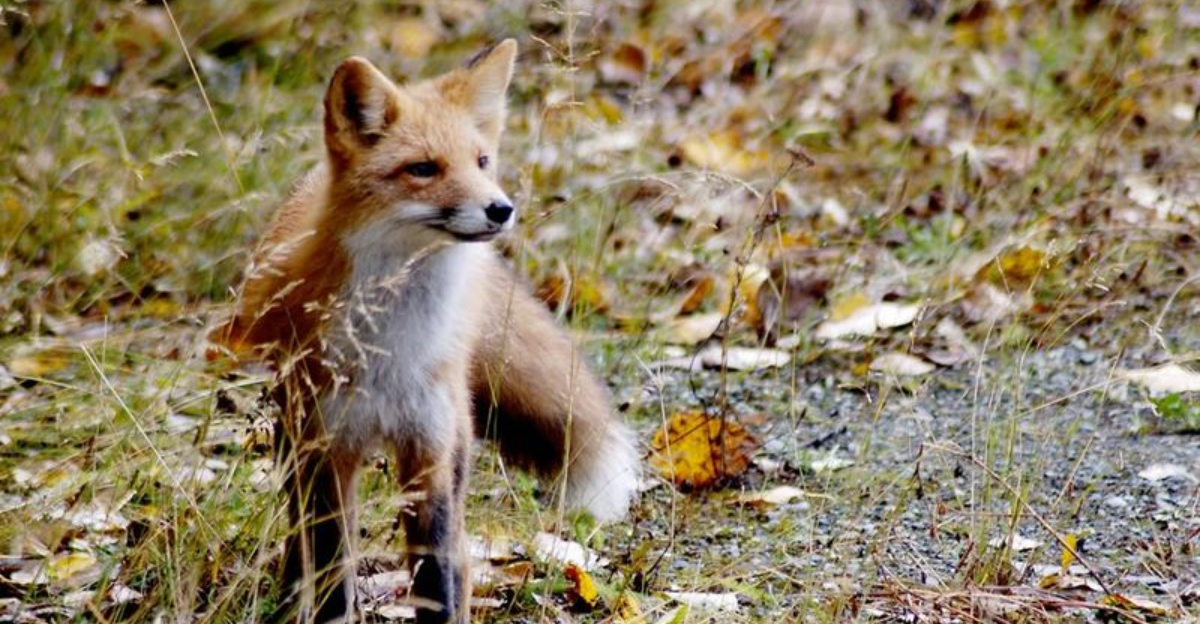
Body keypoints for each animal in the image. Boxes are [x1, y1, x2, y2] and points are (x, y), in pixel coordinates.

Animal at [210, 39, 639, 624]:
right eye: (422, 168)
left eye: (482, 161)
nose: (501, 208)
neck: (392, 346)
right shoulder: (328, 451)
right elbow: (332, 574)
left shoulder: (429, 453)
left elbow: (437, 577)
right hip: (296, 439)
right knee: (301, 542)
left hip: (452, 440)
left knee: (459, 558)